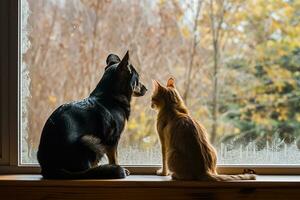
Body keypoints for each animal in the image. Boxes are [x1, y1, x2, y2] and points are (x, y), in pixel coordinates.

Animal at [37, 50, 147, 179]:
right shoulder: (113, 140)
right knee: (86, 170)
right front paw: (117, 168)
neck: (111, 97)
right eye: (137, 79)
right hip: (90, 141)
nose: (146, 89)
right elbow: (114, 159)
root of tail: (50, 169)